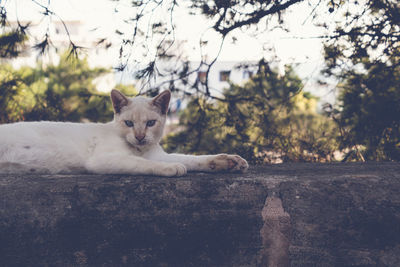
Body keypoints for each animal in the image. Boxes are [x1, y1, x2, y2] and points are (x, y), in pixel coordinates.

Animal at [0, 90, 248, 178]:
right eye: (129, 123)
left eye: (150, 123)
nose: (139, 136)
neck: (139, 149)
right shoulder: (104, 160)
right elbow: (144, 164)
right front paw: (172, 169)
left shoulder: (158, 154)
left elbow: (194, 159)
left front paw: (229, 162)